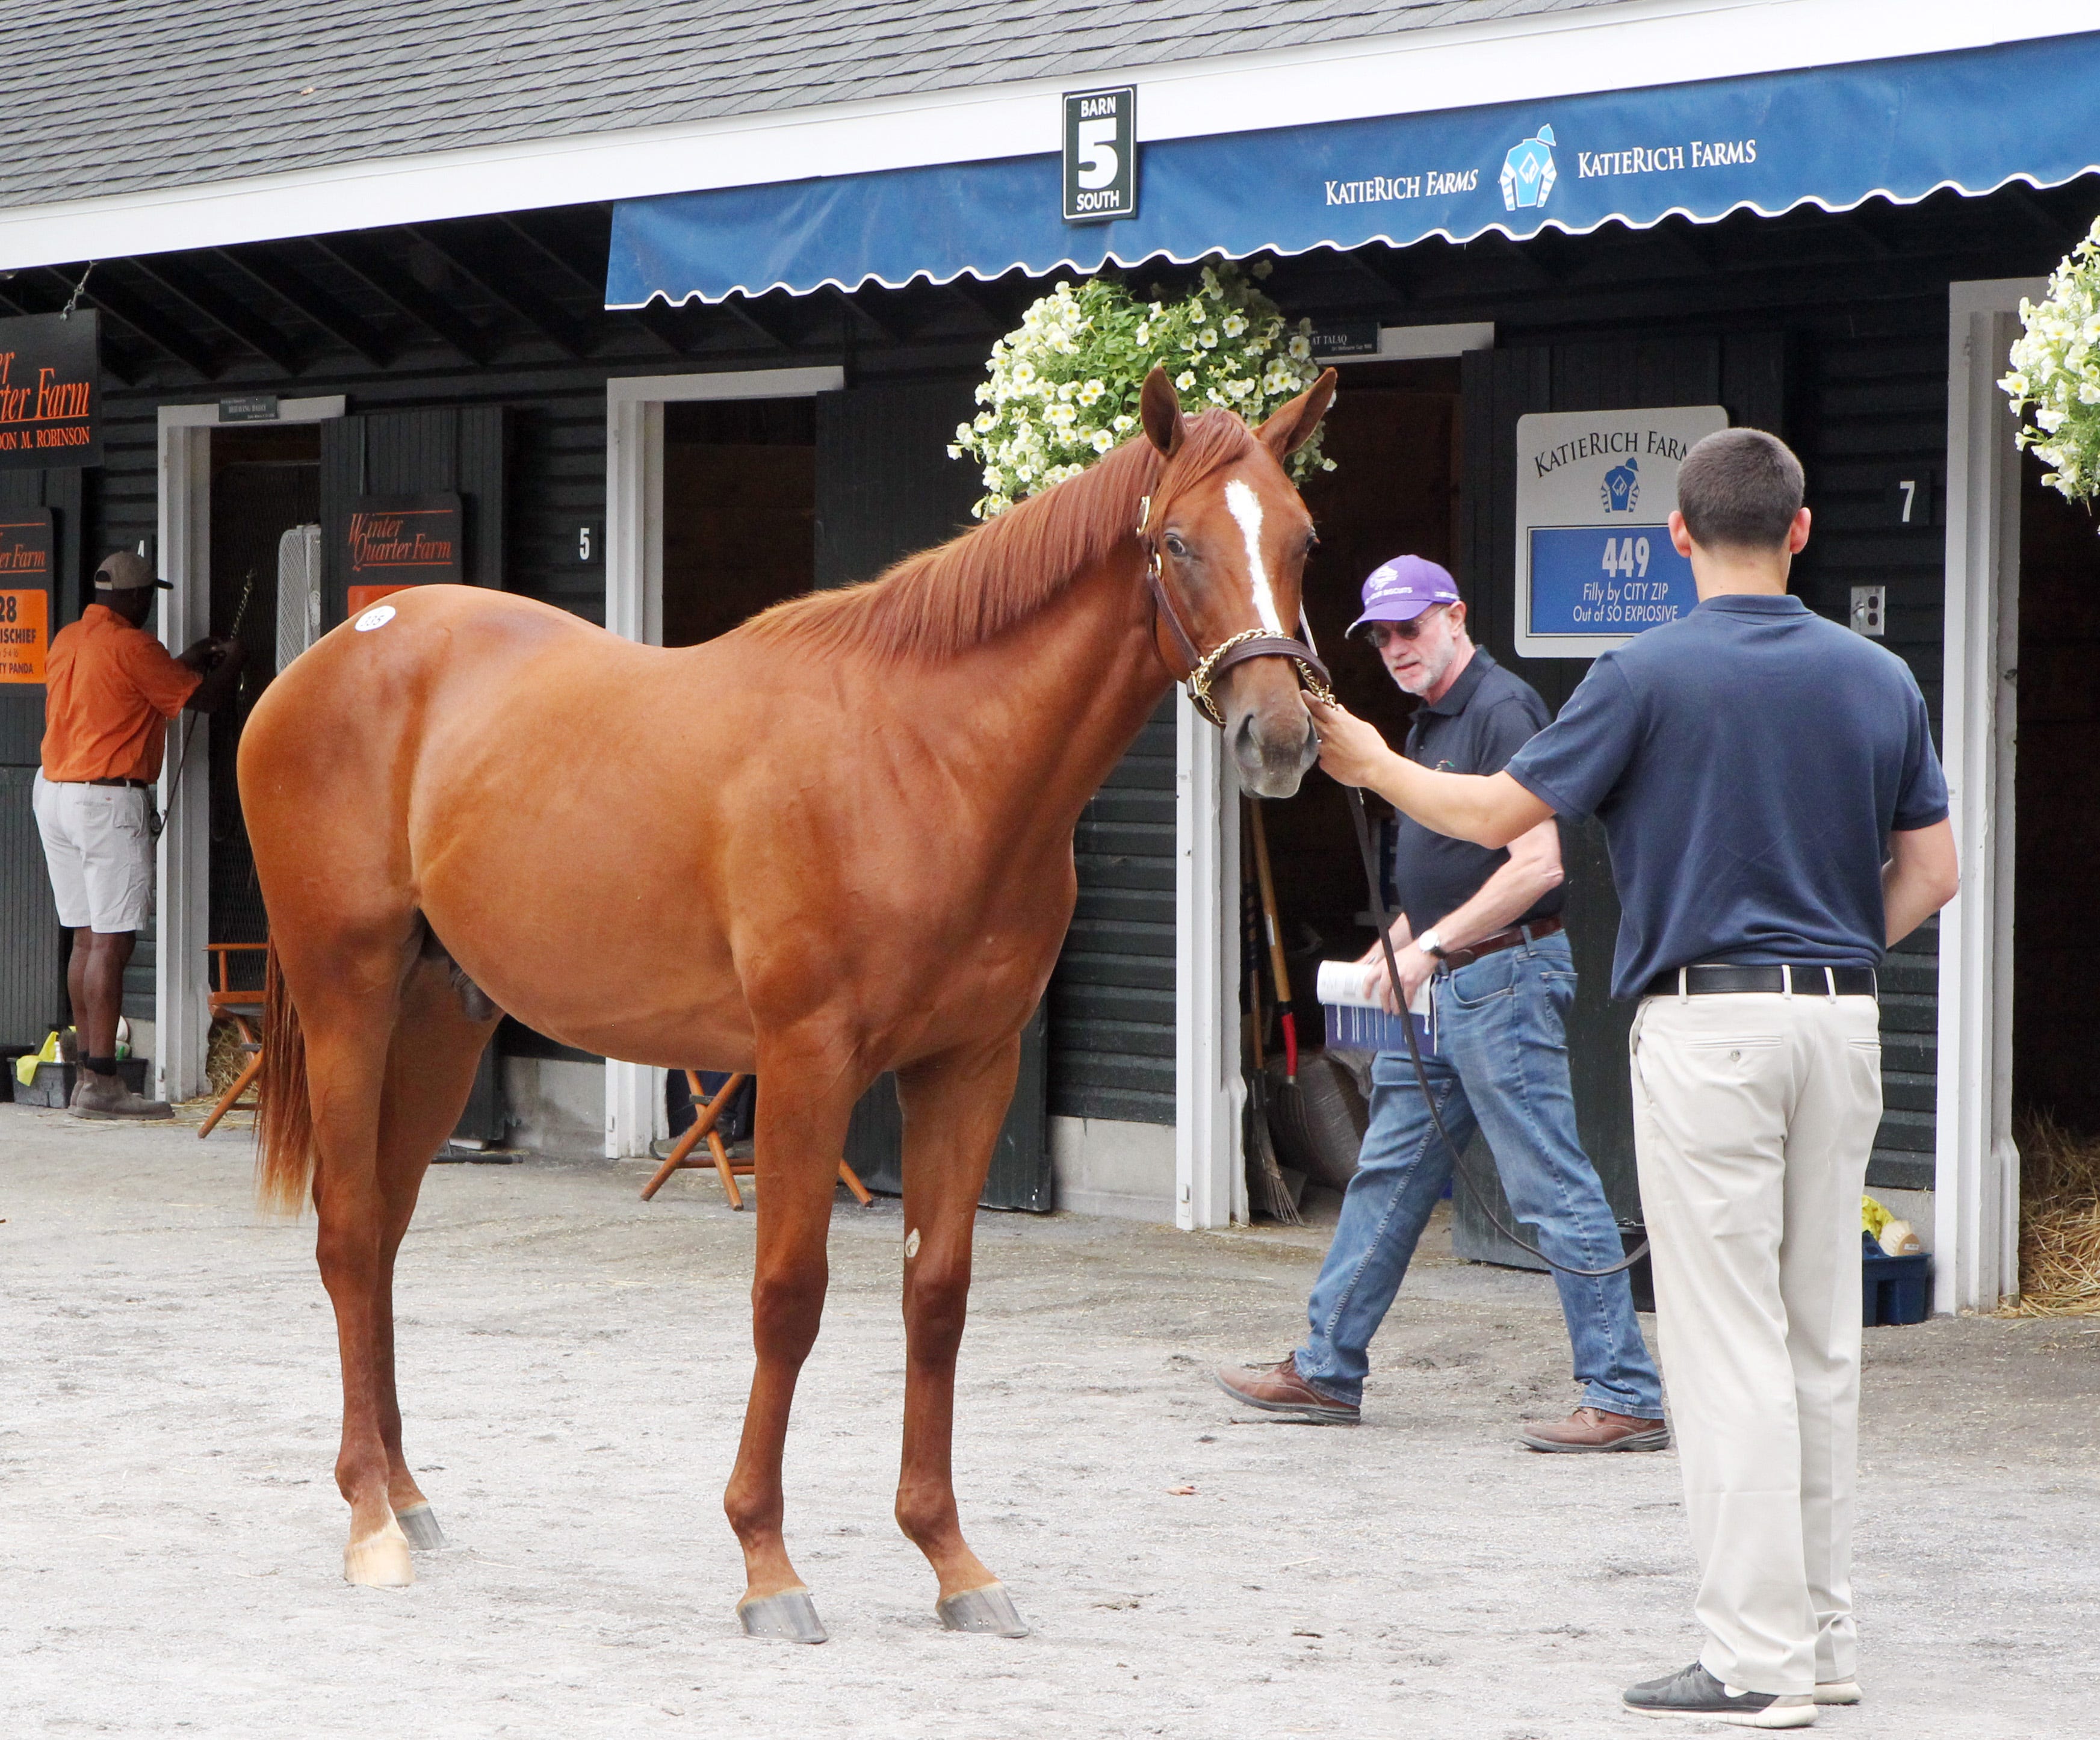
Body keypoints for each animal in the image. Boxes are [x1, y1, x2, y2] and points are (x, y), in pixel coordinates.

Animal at [238, 359, 1336, 1637]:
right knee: (352, 1231)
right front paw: (767, 1563)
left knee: (385, 1233)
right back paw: (370, 1520)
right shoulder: (807, 1062)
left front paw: (951, 1559)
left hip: (437, 1019)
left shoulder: (971, 1065)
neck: (923, 758)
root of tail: (341, 647)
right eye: (1174, 543)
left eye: (1302, 541)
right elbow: (788, 1296)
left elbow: (936, 1297)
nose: (1279, 736)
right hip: (349, 996)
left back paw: (405, 1494)